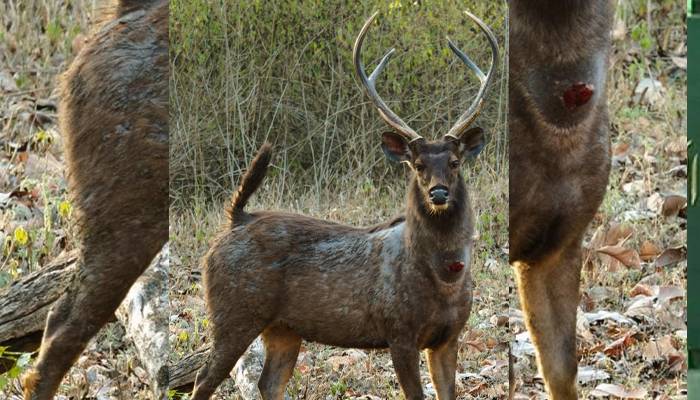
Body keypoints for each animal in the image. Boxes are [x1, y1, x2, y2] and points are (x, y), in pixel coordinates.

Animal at [190, 10, 498, 400]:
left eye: (455, 162)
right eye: (417, 165)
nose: (439, 194)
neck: (444, 277)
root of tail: (235, 220)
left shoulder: (450, 336)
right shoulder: (398, 331)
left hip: (283, 328)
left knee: (267, 382)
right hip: (233, 312)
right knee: (203, 380)